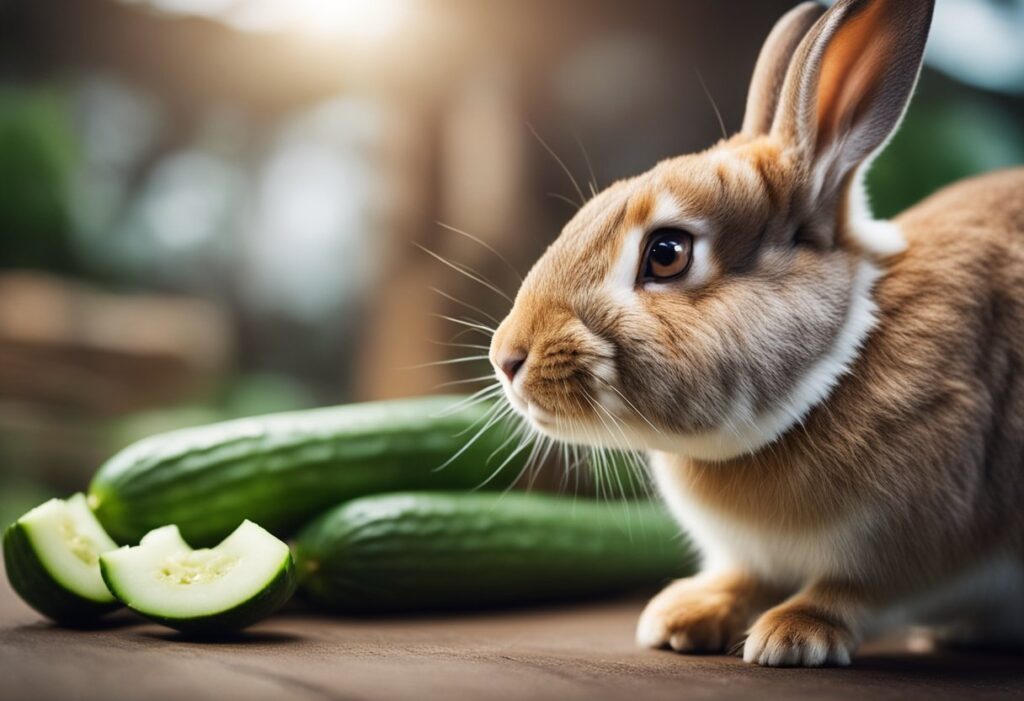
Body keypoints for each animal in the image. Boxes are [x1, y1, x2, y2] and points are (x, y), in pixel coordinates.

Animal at [488, 0, 1024, 667]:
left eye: (667, 253)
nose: (506, 357)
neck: (831, 374)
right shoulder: (754, 558)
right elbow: (744, 578)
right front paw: (681, 617)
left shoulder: (923, 533)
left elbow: (852, 592)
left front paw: (792, 637)